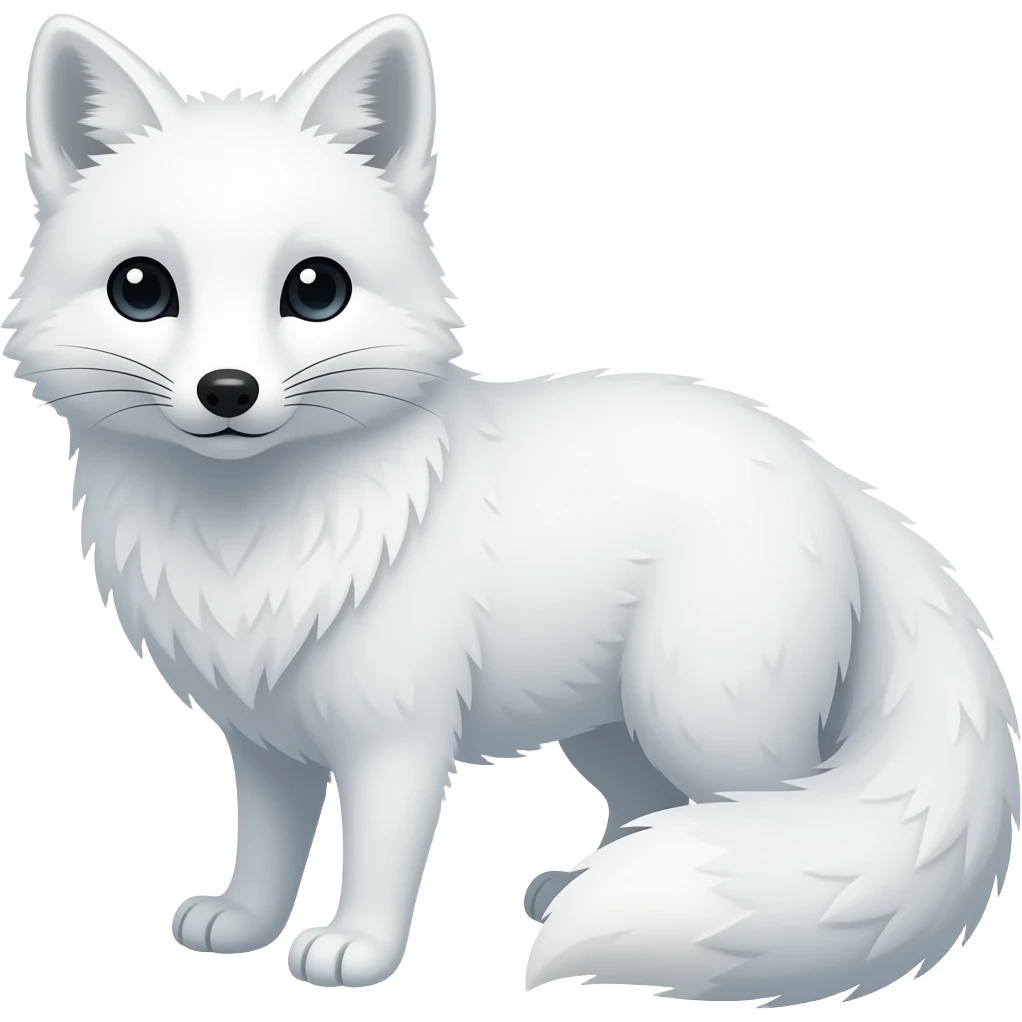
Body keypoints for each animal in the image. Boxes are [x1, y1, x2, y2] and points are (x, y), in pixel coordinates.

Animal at [6, 10, 1019, 1005]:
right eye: (141, 288)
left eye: (315, 289)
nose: (228, 390)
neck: (246, 548)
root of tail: (821, 464)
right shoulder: (264, 739)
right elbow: (266, 846)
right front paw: (244, 926)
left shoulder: (398, 735)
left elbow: (378, 857)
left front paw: (357, 951)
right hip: (610, 727)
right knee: (649, 807)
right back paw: (584, 883)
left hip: (706, 723)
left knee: (766, 822)